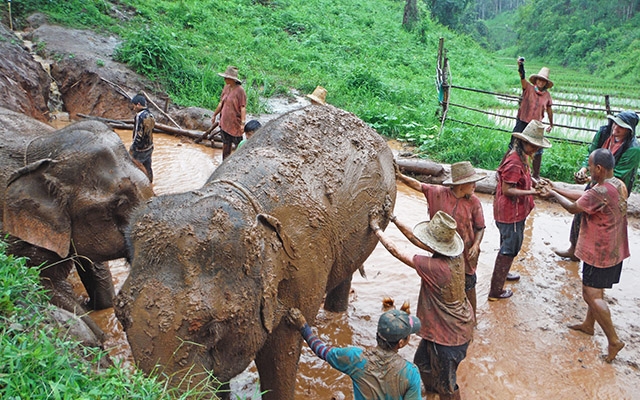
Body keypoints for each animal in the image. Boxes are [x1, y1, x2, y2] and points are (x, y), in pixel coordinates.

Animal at [115, 104, 397, 399]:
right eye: (120, 316)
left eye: (211, 330)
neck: (240, 200)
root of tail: (364, 125)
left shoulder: (302, 268)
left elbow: (280, 354)